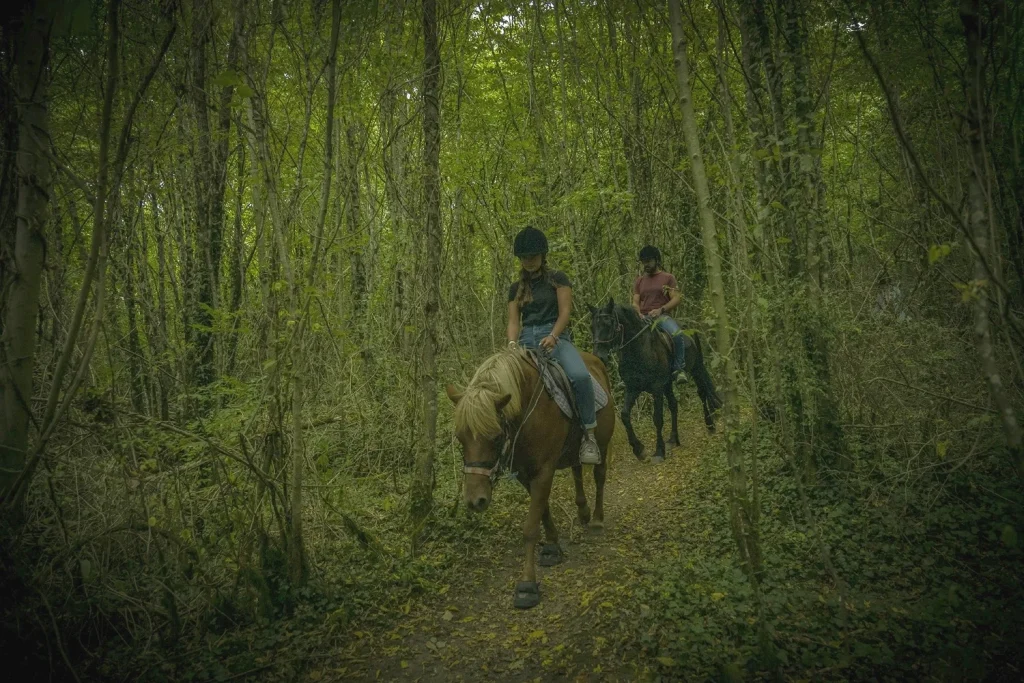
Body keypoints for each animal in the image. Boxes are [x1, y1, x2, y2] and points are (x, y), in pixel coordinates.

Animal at [444, 350, 610, 610]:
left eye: (496, 436)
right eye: (461, 438)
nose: (474, 500)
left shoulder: (543, 471)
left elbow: (530, 527)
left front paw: (527, 585)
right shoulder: (524, 473)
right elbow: (543, 510)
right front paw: (552, 546)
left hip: (602, 443)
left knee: (600, 476)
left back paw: (596, 519)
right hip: (573, 450)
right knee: (576, 472)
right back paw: (583, 511)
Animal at [589, 301, 724, 464]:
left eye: (608, 324)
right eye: (592, 327)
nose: (599, 357)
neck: (639, 349)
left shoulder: (656, 388)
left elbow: (657, 418)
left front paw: (659, 452)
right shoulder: (632, 387)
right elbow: (625, 415)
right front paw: (639, 450)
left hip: (696, 368)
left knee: (702, 392)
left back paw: (710, 426)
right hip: (668, 384)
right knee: (673, 404)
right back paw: (673, 439)